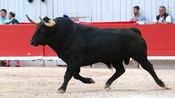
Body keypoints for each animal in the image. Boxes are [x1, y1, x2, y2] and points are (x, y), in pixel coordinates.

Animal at [28, 16, 166, 93]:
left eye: (42, 30)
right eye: (36, 28)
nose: (32, 42)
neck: (67, 35)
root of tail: (134, 30)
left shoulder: (73, 61)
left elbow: (68, 75)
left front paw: (61, 88)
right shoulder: (74, 63)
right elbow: (75, 75)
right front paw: (89, 80)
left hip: (140, 56)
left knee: (149, 67)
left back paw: (162, 84)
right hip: (116, 59)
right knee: (120, 70)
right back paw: (107, 84)